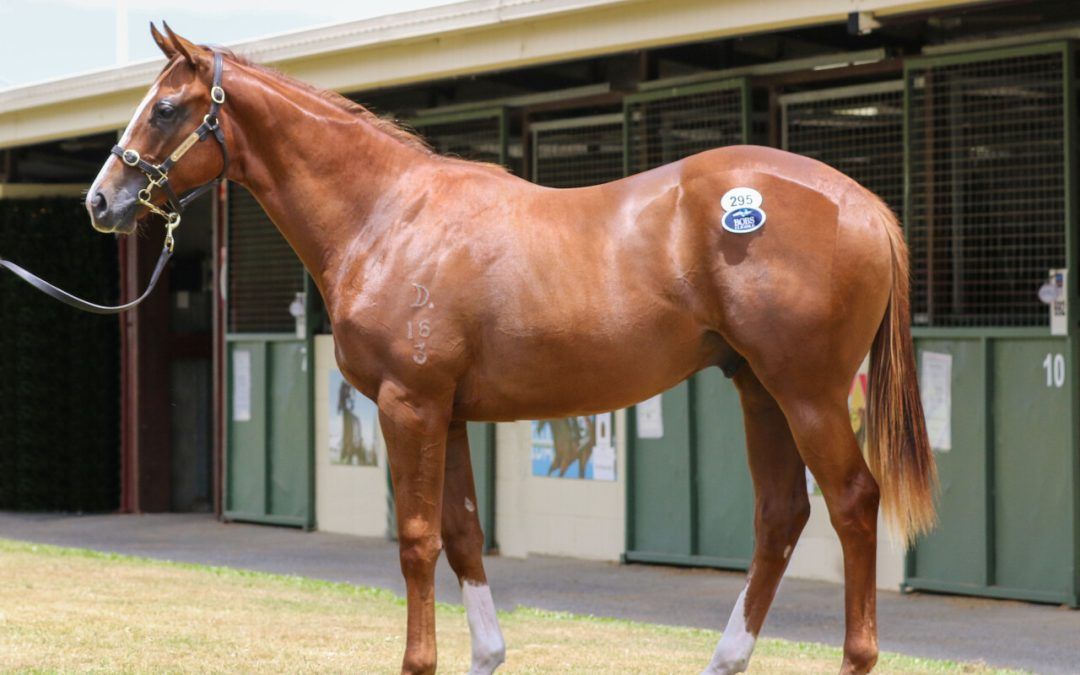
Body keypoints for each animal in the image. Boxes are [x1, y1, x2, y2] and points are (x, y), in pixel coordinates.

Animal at [86, 26, 937, 673]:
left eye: (165, 109)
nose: (102, 200)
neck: (388, 214)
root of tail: (865, 203)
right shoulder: (450, 414)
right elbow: (463, 532)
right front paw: (486, 653)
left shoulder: (410, 405)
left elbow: (419, 540)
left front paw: (418, 661)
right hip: (757, 387)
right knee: (780, 516)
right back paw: (726, 657)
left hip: (808, 394)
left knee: (853, 502)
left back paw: (855, 655)